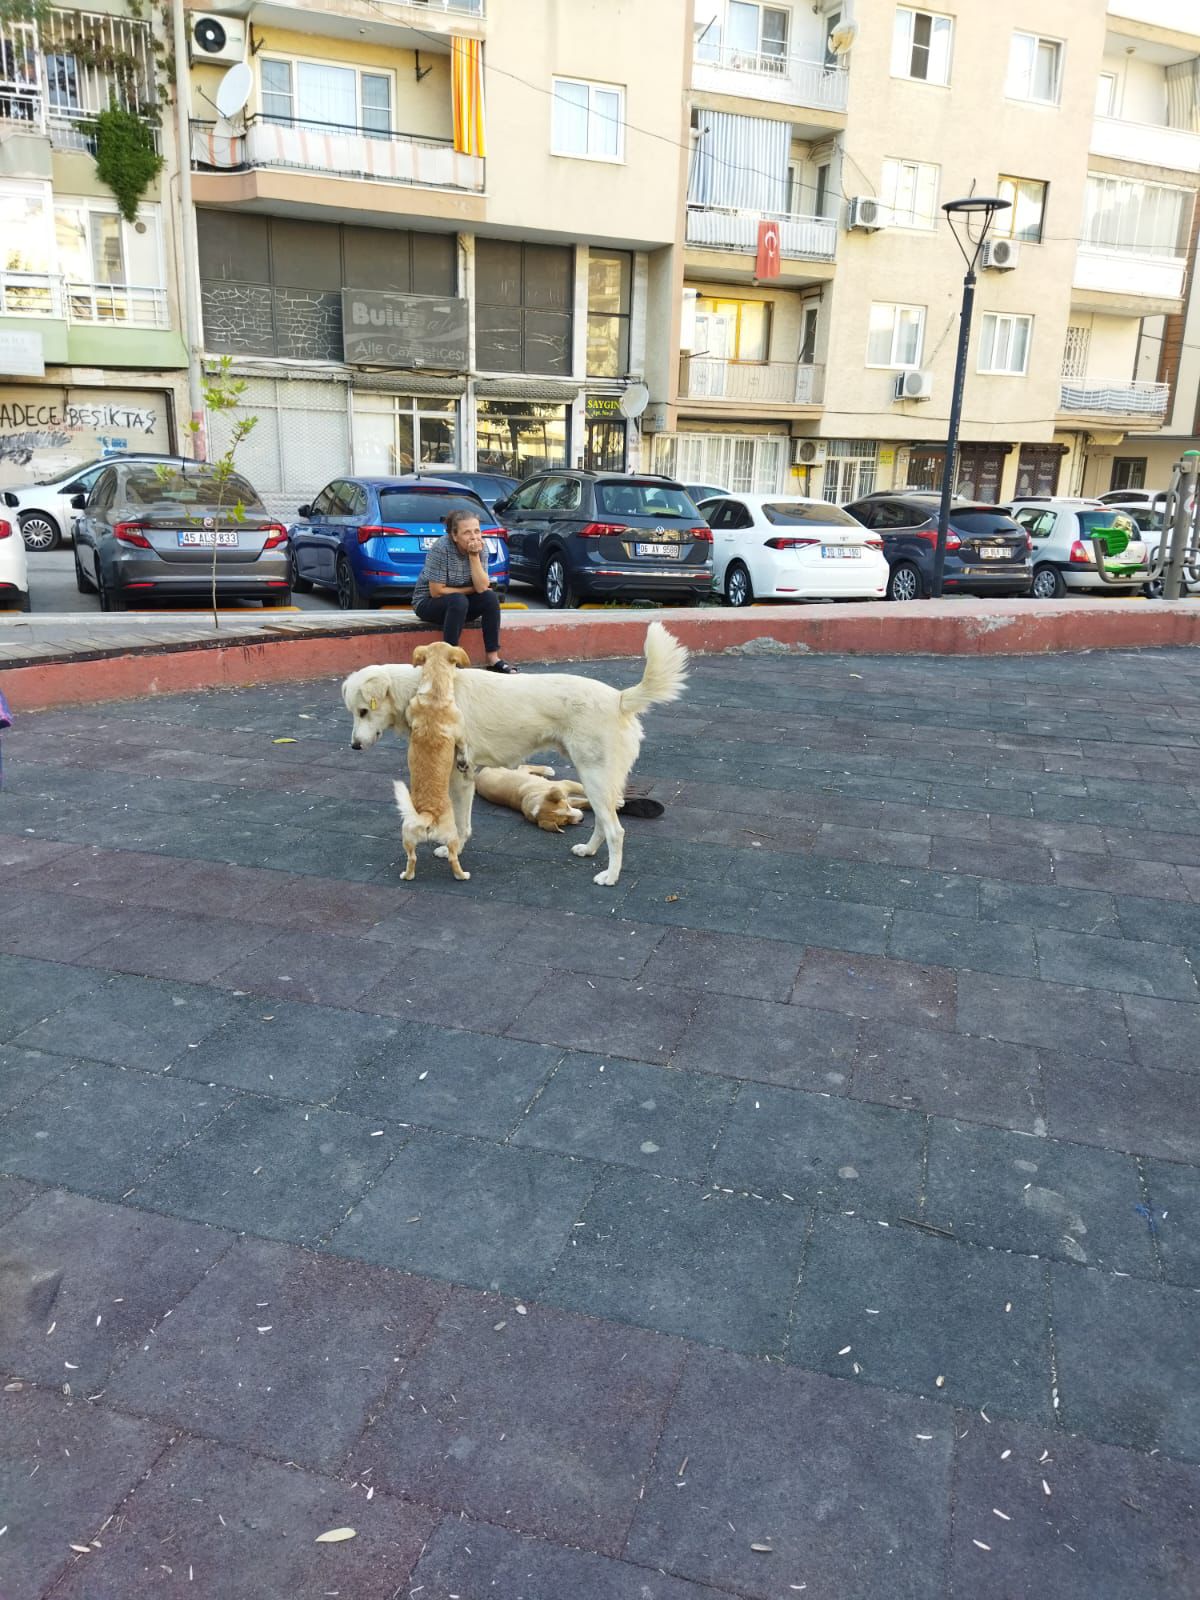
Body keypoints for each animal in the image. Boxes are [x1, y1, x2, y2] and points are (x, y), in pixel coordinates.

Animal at [342, 617, 691, 889]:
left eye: (363, 711)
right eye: (354, 712)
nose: (354, 746)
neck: (432, 685)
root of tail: (620, 698)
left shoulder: (461, 775)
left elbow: (460, 821)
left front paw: (453, 848)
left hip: (593, 777)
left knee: (616, 830)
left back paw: (610, 876)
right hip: (595, 779)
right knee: (604, 824)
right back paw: (589, 851)